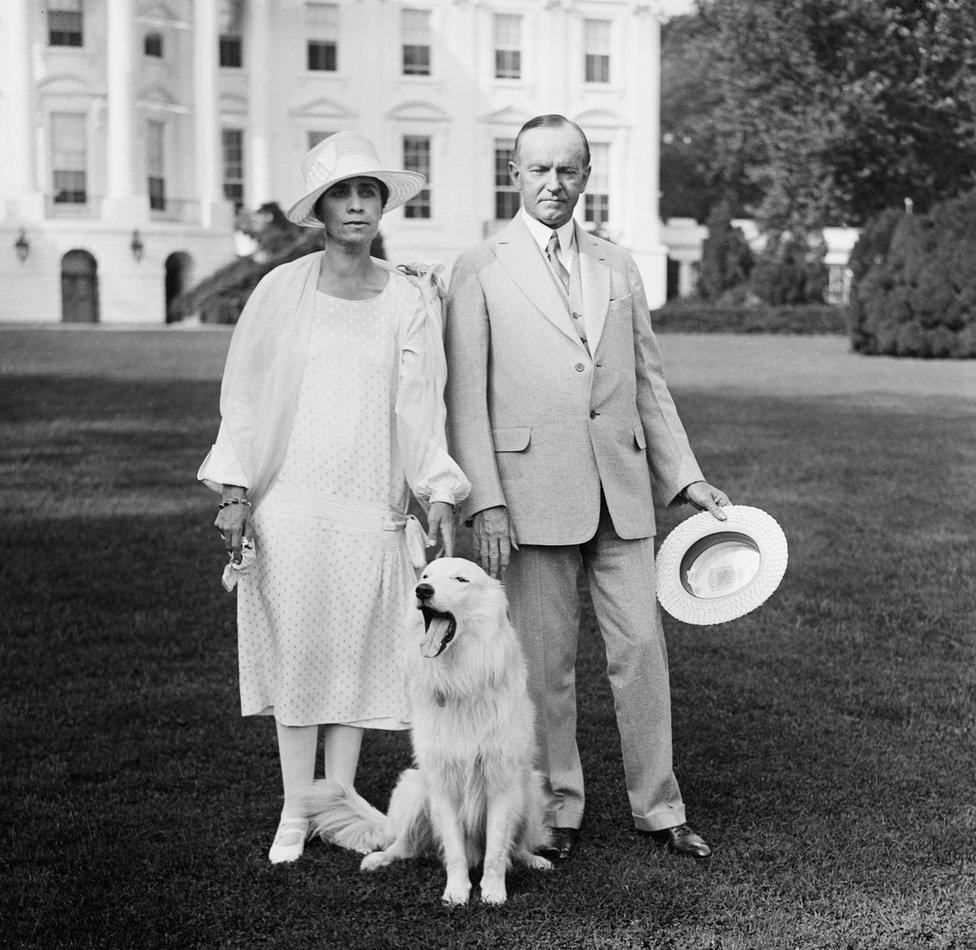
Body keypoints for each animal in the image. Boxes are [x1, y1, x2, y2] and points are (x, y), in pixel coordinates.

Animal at [304, 556, 552, 908]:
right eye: (425, 575)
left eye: (461, 579)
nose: (422, 590)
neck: (461, 680)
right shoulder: (443, 786)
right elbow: (455, 853)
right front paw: (457, 892)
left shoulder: (501, 783)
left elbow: (495, 851)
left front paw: (492, 893)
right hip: (416, 789)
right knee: (403, 846)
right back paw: (378, 859)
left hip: (530, 788)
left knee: (514, 849)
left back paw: (533, 860)